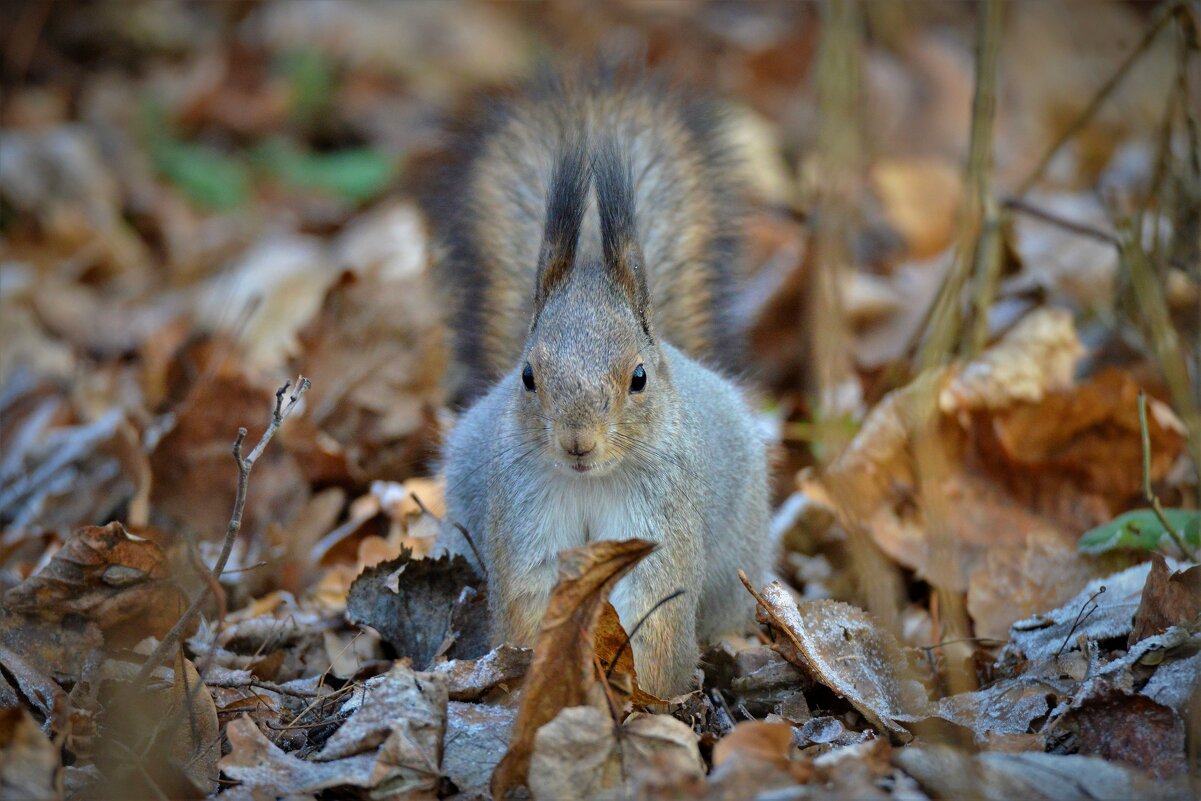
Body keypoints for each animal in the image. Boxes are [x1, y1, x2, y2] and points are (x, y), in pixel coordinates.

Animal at [429, 70, 768, 696]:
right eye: (527, 376)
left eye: (638, 377)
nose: (577, 443)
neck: (590, 482)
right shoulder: (525, 513)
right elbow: (531, 602)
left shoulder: (661, 519)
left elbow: (653, 616)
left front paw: (642, 697)